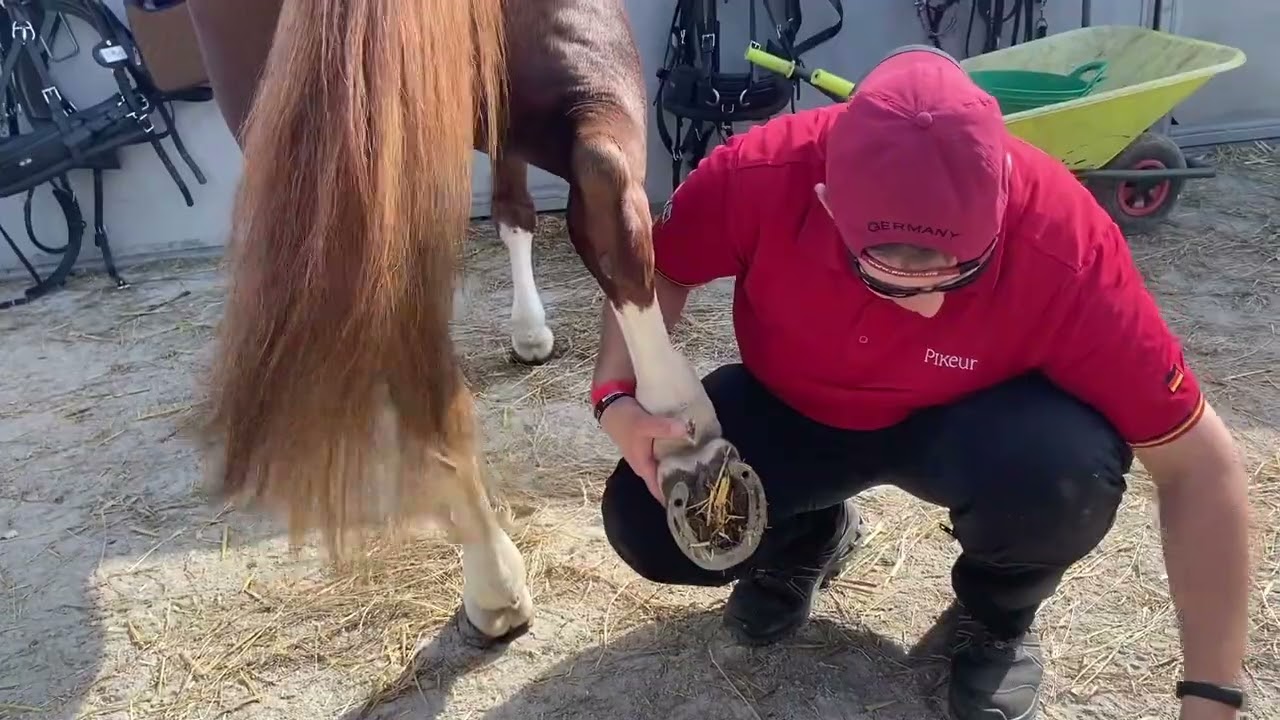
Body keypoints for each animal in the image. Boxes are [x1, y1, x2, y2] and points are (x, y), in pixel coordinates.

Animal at [185, 0, 766, 648]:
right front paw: (530, 333)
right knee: (606, 181)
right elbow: (518, 209)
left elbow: (512, 210)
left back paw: (495, 580)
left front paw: (529, 333)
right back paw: (685, 445)